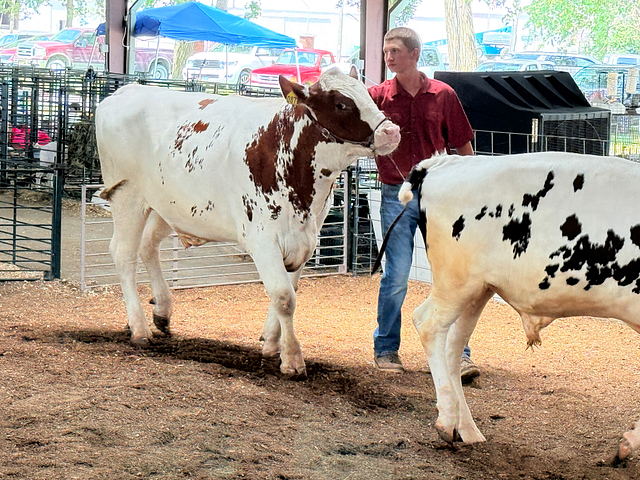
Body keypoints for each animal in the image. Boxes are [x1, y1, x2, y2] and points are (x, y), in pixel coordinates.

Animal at [95, 68, 400, 378]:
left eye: (366, 94)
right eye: (341, 104)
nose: (392, 132)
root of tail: (127, 91)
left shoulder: (307, 237)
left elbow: (290, 290)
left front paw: (272, 342)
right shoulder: (262, 238)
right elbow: (283, 296)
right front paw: (292, 357)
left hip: (166, 205)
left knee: (147, 246)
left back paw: (161, 311)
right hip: (127, 196)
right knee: (123, 253)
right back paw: (139, 327)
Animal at [393, 151, 640, 462]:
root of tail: (450, 161)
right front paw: (629, 442)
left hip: (479, 289)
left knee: (453, 345)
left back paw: (468, 430)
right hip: (456, 281)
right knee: (428, 324)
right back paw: (447, 421)